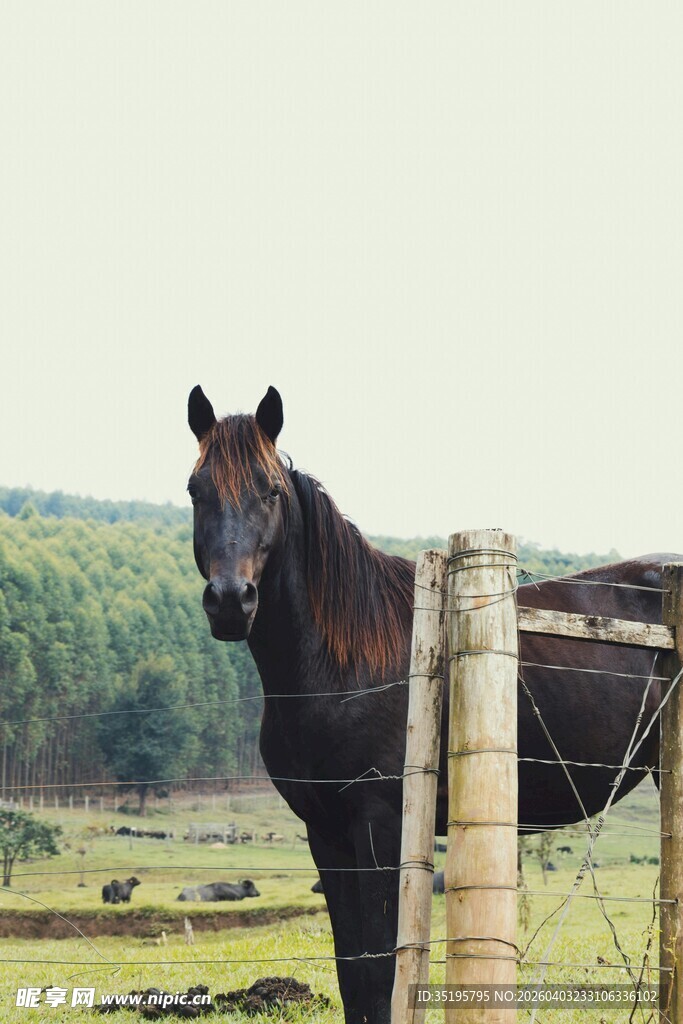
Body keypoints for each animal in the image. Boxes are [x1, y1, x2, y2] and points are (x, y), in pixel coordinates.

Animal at [187, 384, 667, 1024]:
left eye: (270, 490)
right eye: (196, 490)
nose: (230, 601)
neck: (339, 666)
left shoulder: (379, 827)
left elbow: (380, 970)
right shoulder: (326, 834)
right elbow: (352, 972)